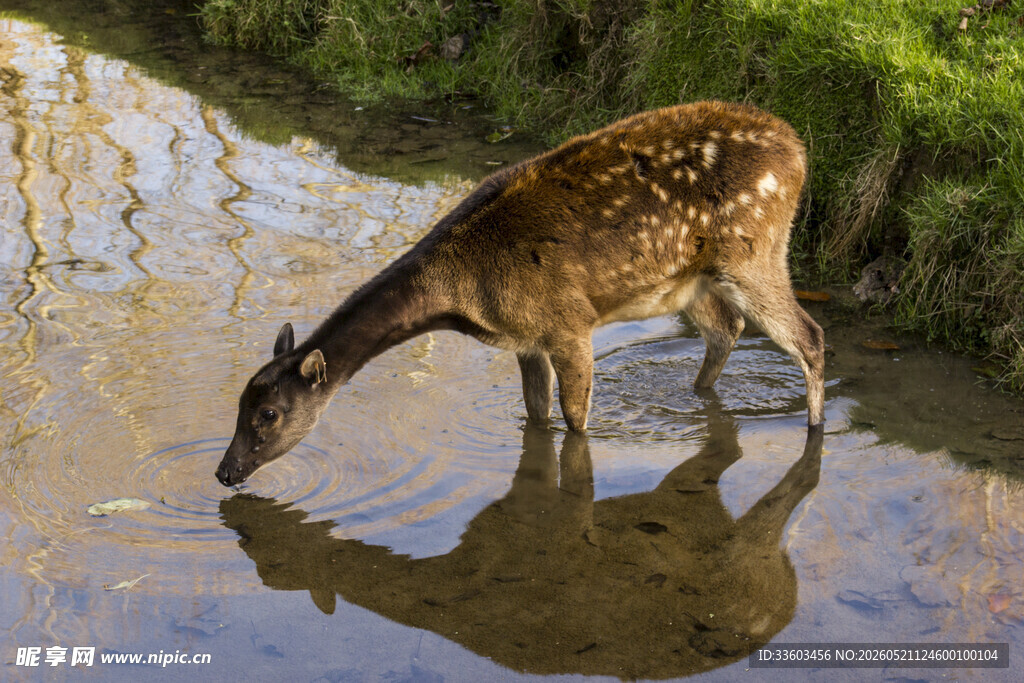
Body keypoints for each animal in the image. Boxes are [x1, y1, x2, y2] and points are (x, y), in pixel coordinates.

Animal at [216, 101, 825, 487]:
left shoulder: (568, 322)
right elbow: (536, 419)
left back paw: (815, 431)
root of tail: (799, 151)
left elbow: (575, 422)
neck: (465, 294)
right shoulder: (528, 341)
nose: (225, 471)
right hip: (690, 280)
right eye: (240, 403)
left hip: (755, 250)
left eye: (268, 413)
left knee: (810, 336)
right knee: (727, 328)